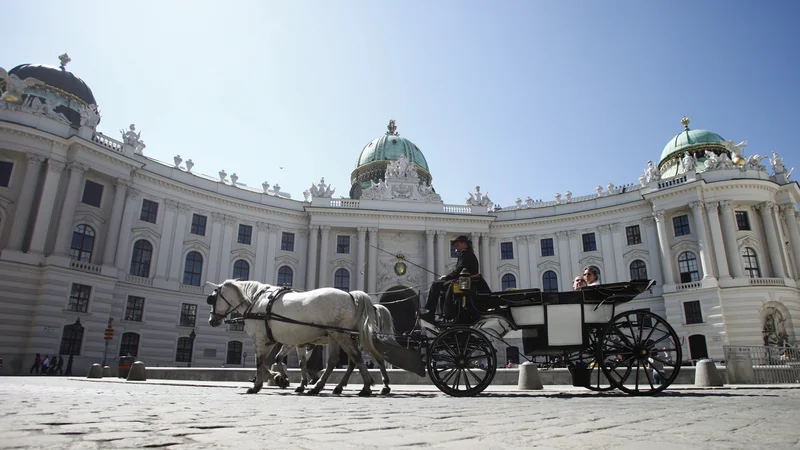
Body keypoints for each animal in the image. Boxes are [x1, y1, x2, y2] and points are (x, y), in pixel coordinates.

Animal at [206, 280, 394, 396]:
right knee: (339, 361)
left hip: (341, 335)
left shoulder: (262, 339)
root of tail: (350, 295)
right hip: (338, 335)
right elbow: (284, 361)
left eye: (212, 299)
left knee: (357, 357)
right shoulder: (289, 342)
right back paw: (324, 387)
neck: (257, 302)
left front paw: (262, 383)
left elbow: (261, 362)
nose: (211, 321)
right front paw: (286, 380)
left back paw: (367, 386)